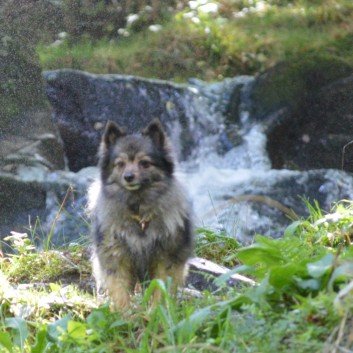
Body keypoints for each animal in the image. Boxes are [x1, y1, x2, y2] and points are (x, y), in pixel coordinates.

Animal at [88, 117, 192, 308]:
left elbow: (160, 289)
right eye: (120, 164)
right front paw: (124, 313)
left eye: (144, 163)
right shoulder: (117, 257)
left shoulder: (164, 259)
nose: (129, 177)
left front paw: (157, 310)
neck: (139, 212)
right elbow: (120, 291)